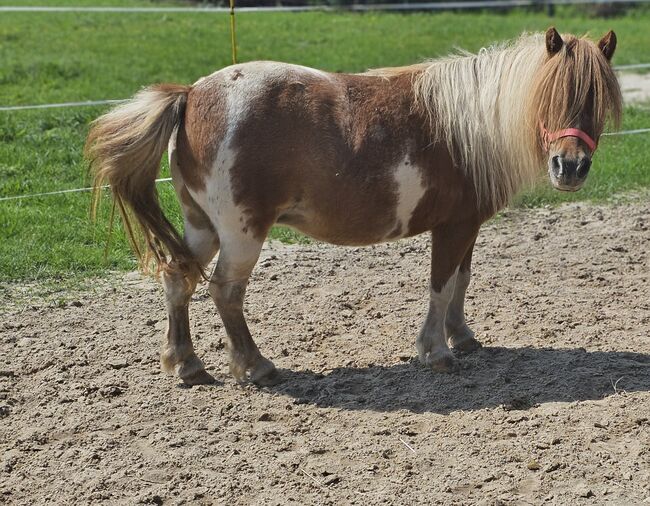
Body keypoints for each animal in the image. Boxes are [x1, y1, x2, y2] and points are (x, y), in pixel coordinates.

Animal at [85, 27, 616, 386]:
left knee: (179, 279)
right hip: (241, 232)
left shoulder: (466, 226)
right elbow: (441, 286)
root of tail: (192, 93)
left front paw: (462, 337)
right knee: (225, 292)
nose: (570, 167)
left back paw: (187, 364)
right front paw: (436, 352)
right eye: (552, 94)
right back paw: (256, 366)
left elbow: (461, 282)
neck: (470, 125)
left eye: (597, 99)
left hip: (202, 226)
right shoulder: (453, 227)